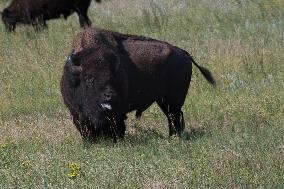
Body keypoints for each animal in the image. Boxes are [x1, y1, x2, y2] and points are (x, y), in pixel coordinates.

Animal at [60, 28, 215, 142]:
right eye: (88, 78)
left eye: (112, 76)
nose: (110, 96)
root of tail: (184, 53)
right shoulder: (77, 113)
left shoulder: (118, 113)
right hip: (164, 101)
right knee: (174, 117)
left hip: (172, 101)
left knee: (175, 116)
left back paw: (174, 137)